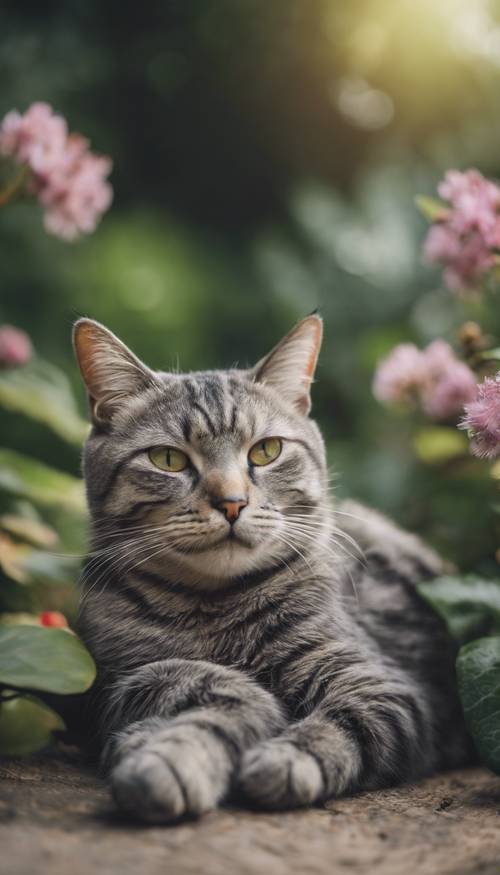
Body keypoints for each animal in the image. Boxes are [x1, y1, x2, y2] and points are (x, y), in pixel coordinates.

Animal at [73, 318, 468, 824]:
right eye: (168, 459)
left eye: (266, 451)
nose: (232, 502)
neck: (218, 607)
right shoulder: (117, 681)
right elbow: (218, 689)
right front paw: (170, 754)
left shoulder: (384, 686)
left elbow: (342, 725)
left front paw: (287, 757)